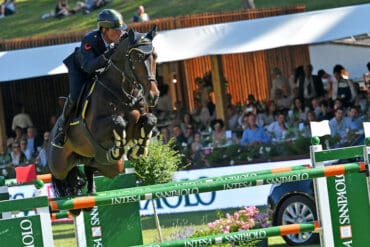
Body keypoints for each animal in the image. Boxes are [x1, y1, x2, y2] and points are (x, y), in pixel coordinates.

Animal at [47, 26, 160, 206]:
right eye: (136, 57)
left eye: (155, 56)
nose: (153, 96)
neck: (123, 90)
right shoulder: (96, 129)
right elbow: (118, 122)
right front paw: (118, 148)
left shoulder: (139, 122)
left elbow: (150, 120)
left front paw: (137, 151)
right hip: (59, 164)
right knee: (63, 175)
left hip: (110, 165)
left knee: (91, 165)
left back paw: (87, 183)